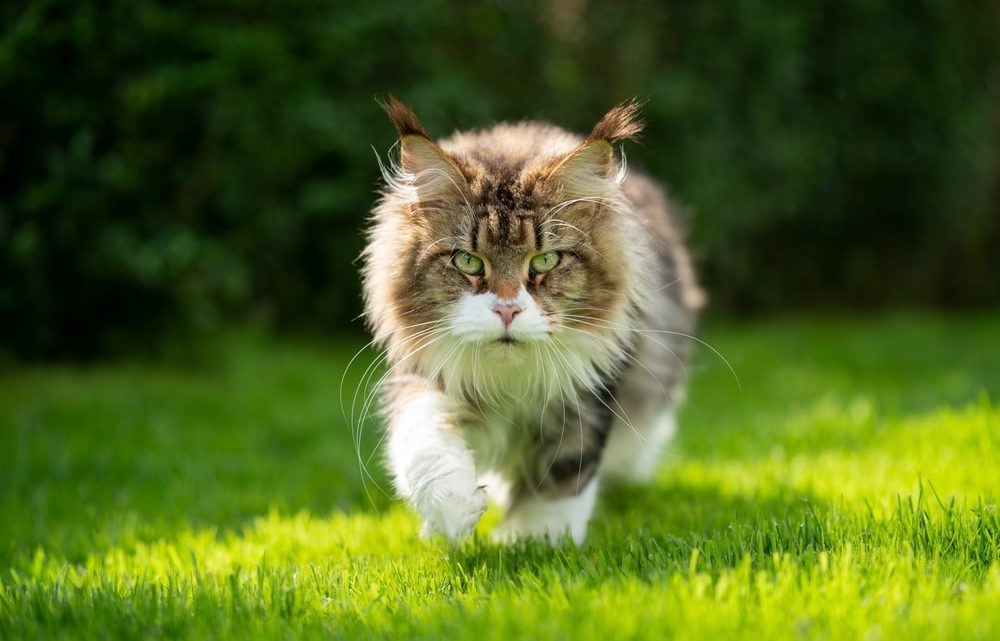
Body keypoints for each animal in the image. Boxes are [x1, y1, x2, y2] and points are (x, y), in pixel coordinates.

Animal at [362, 96, 704, 544]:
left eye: (544, 261)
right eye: (467, 261)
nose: (508, 310)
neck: (509, 383)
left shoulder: (587, 393)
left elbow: (563, 475)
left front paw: (532, 539)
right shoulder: (425, 373)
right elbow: (424, 440)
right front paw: (453, 510)